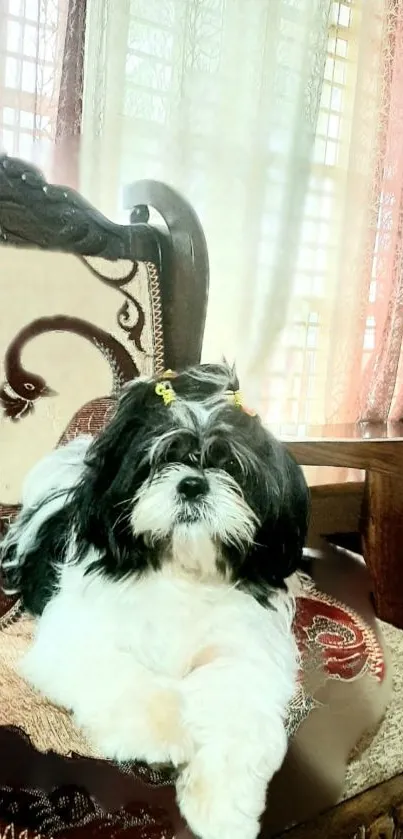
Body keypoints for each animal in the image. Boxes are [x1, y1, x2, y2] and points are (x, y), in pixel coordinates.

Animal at [0, 362, 310, 839]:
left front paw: (222, 807)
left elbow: (234, 712)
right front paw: (162, 734)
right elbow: (128, 680)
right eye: (161, 459)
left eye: (230, 465)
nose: (193, 483)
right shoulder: (78, 638)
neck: (180, 569)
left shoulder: (244, 653)